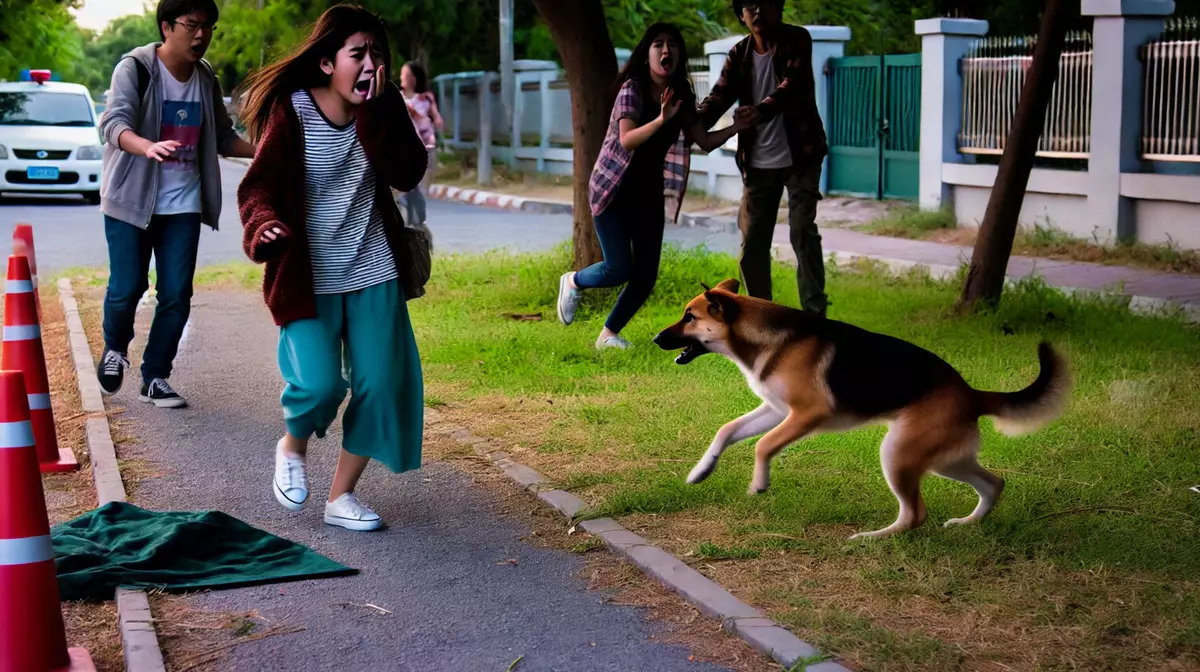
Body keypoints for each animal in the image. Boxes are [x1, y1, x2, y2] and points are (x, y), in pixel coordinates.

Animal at [652, 278, 1075, 540]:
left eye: (690, 317)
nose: (655, 337)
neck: (769, 337)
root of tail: (972, 393)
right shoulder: (776, 411)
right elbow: (726, 431)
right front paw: (701, 471)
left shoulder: (807, 415)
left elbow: (763, 446)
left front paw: (759, 483)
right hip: (944, 459)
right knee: (993, 484)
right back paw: (969, 523)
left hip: (898, 454)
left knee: (915, 514)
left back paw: (872, 538)